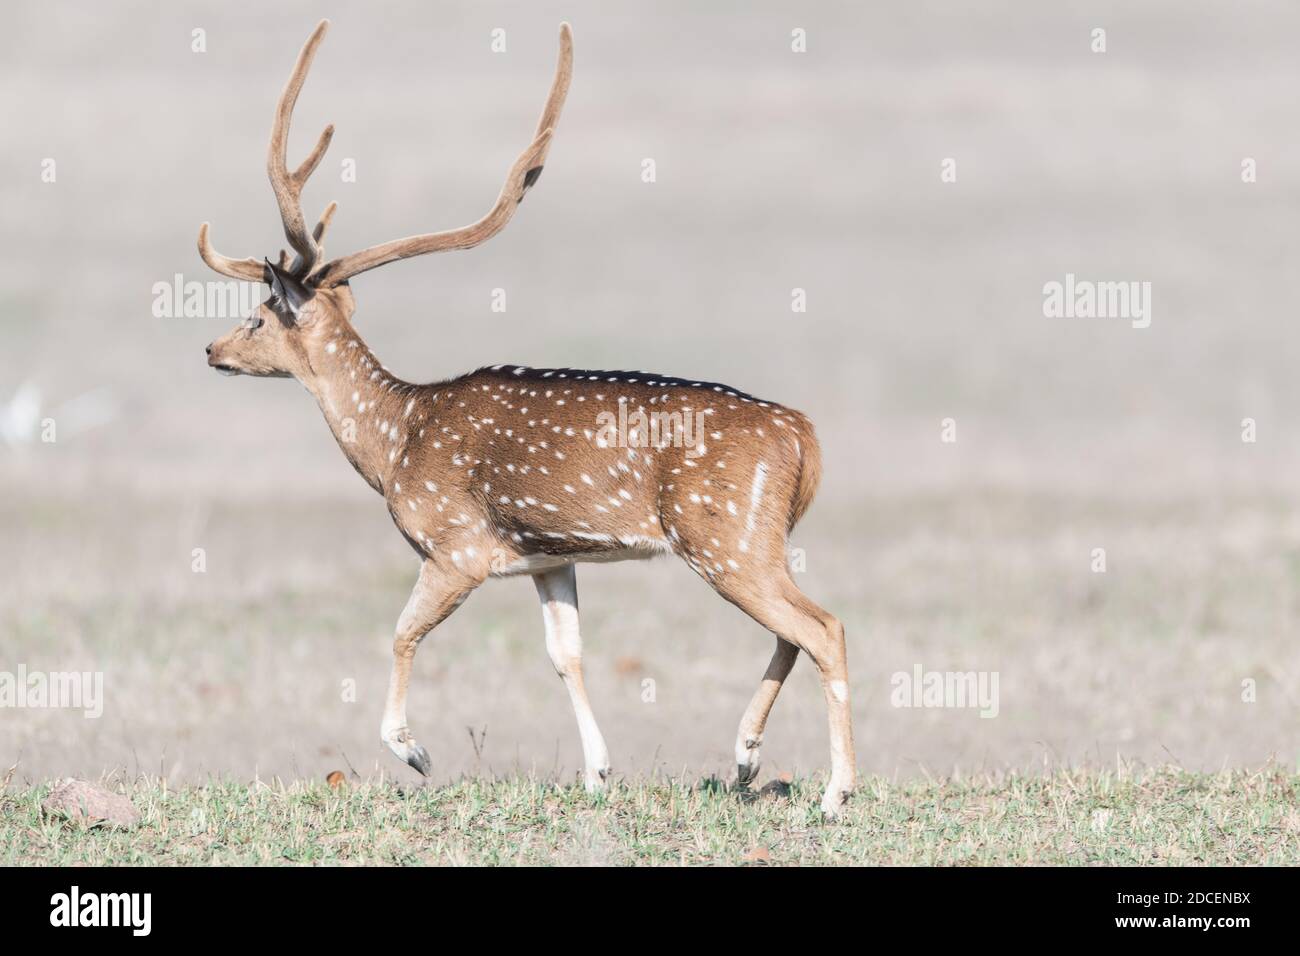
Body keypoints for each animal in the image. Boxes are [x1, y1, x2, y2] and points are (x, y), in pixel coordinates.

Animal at [199, 20, 855, 816]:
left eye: (260, 316)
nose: (212, 348)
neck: (394, 442)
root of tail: (803, 434)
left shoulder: (455, 546)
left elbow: (401, 633)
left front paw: (413, 750)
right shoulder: (551, 555)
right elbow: (565, 654)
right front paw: (599, 772)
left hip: (726, 536)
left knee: (824, 626)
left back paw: (834, 790)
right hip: (754, 544)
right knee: (796, 629)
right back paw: (745, 759)